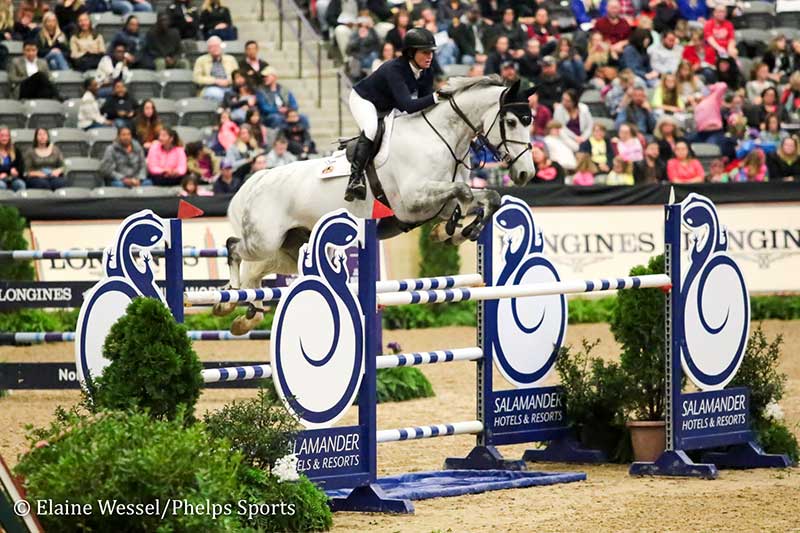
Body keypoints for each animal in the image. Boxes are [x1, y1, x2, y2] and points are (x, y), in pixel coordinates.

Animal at [216, 76, 537, 334]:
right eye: (511, 122)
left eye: (528, 121)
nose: (526, 174)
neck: (440, 139)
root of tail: (260, 179)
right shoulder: (412, 202)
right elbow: (464, 193)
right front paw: (453, 231)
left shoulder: (436, 203)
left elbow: (486, 198)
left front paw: (455, 232)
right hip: (264, 240)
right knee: (234, 247)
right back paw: (228, 300)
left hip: (288, 248)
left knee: (255, 274)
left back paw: (245, 316)